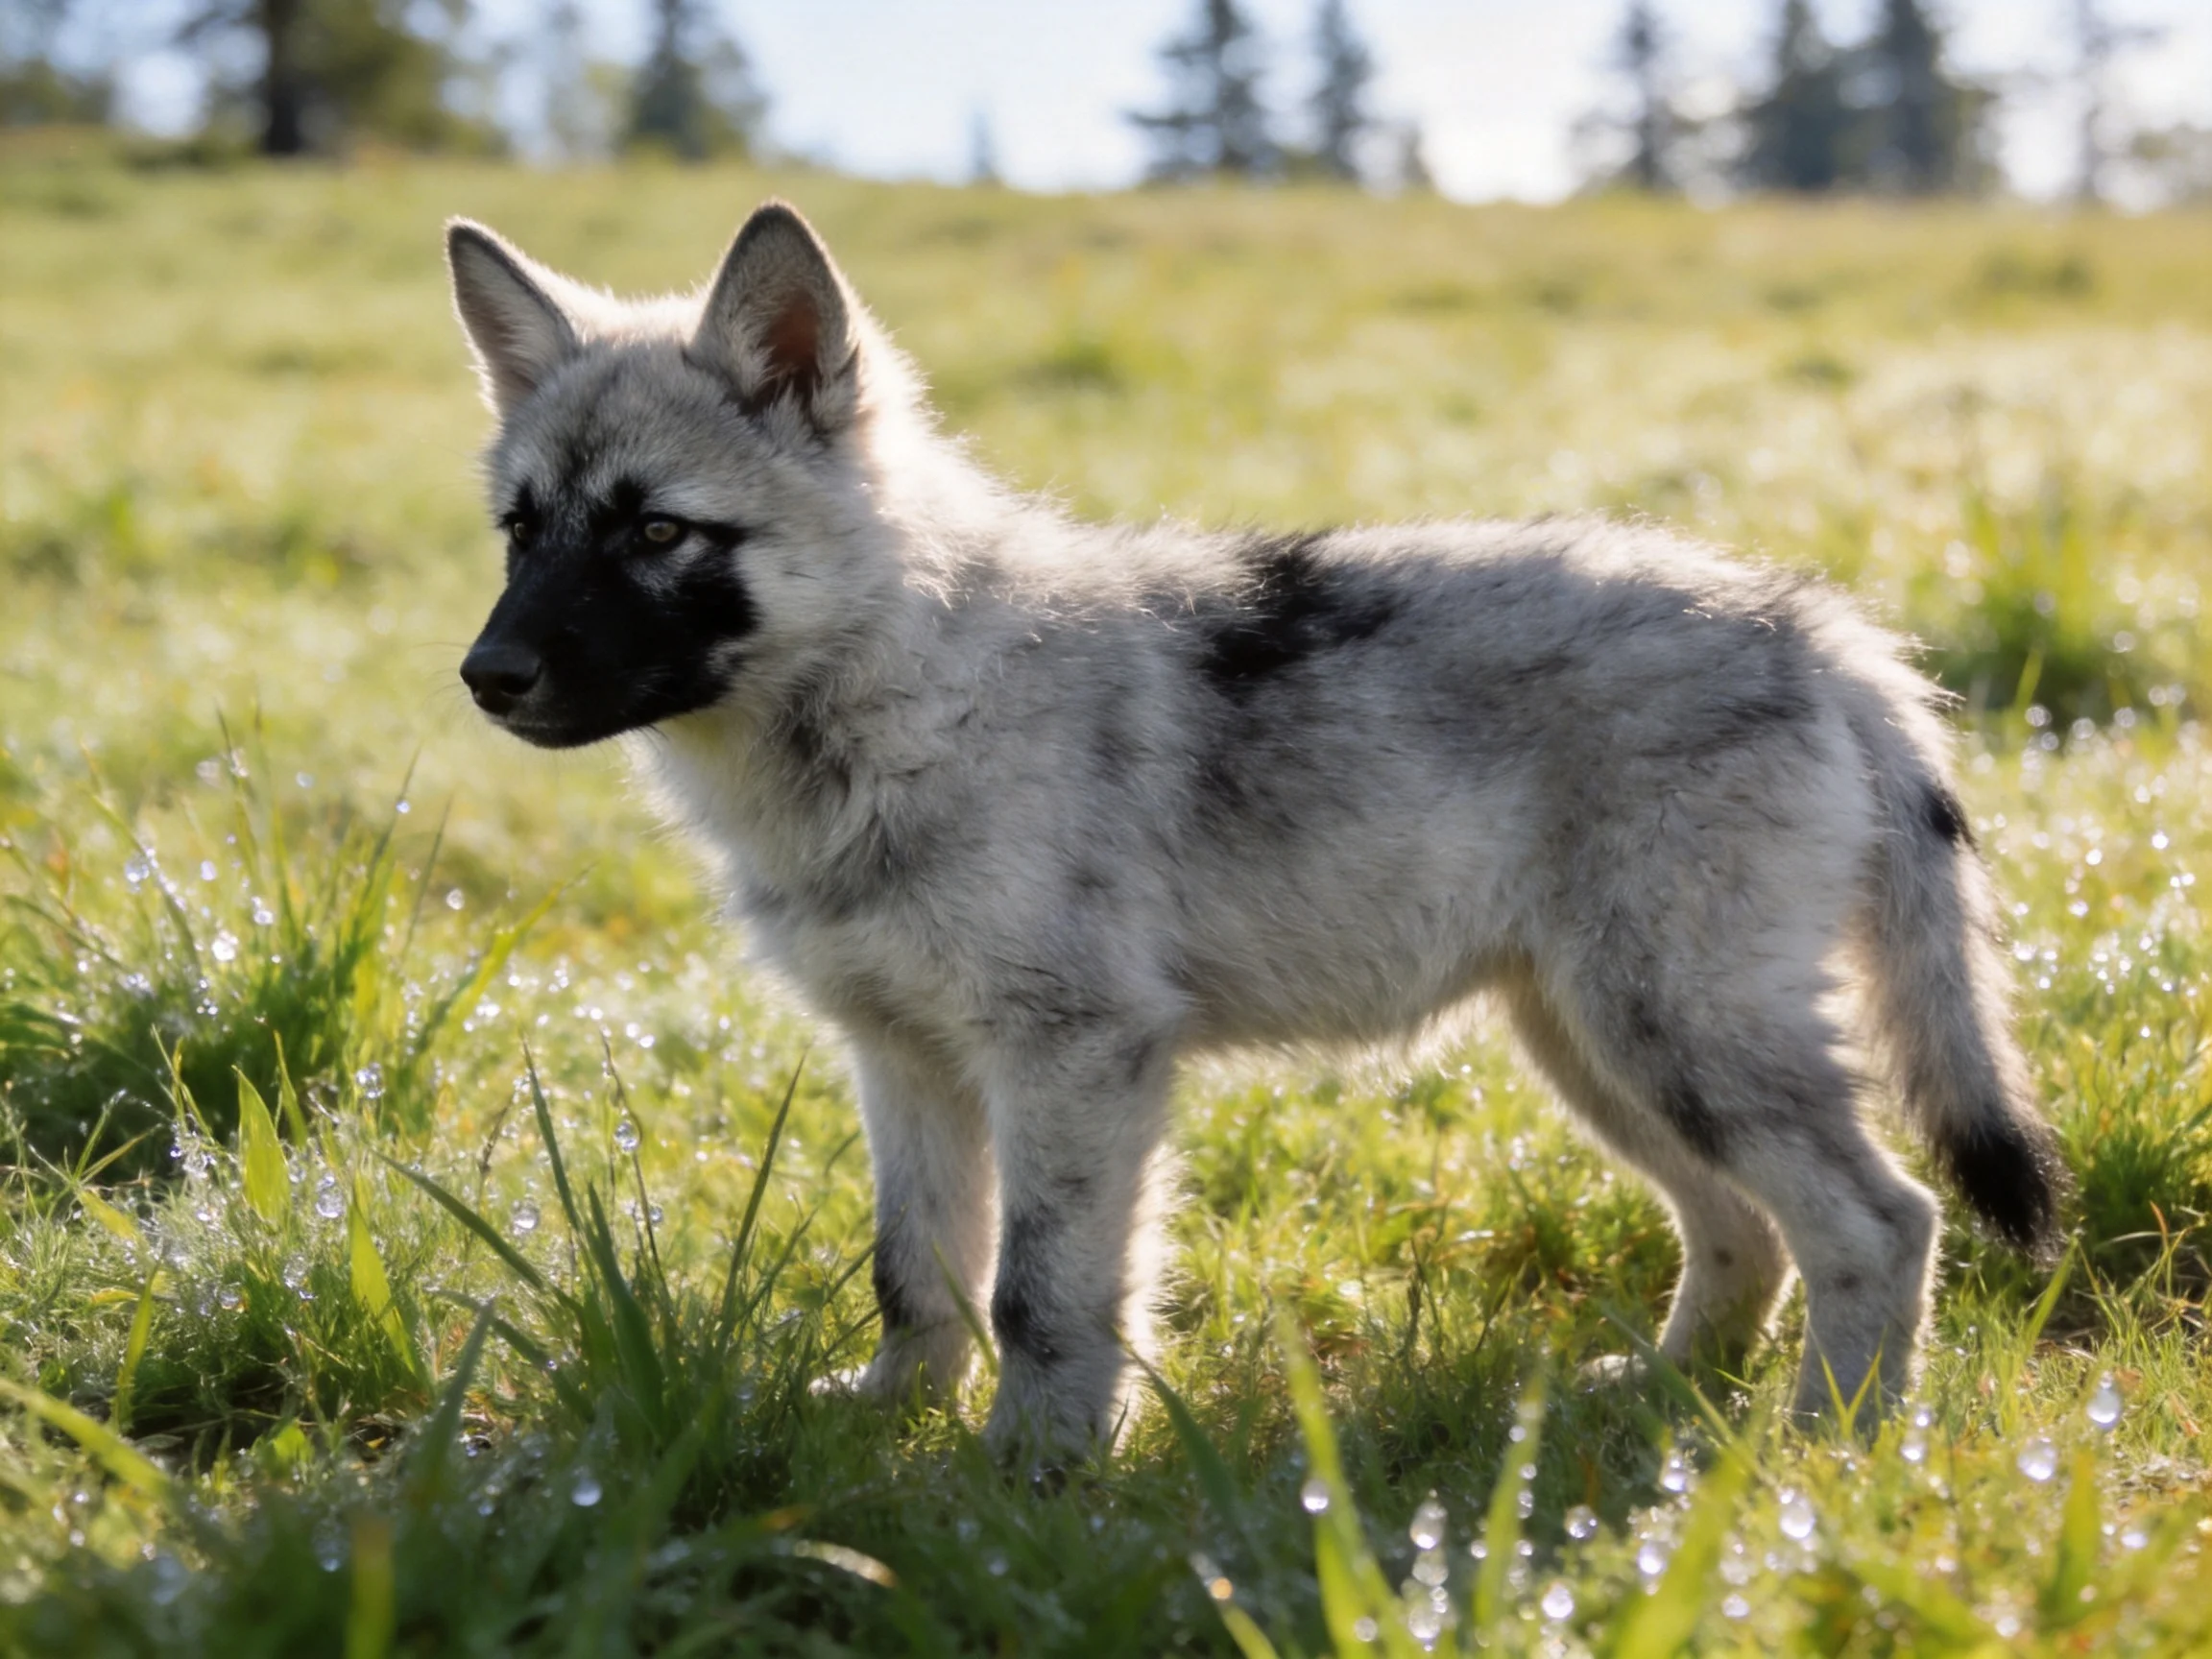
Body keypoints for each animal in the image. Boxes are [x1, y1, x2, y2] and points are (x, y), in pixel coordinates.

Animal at [445, 199, 2065, 1460]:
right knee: (1744, 1235)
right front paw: (891, 1427)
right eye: (522, 533)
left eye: (658, 532)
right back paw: (1666, 1402)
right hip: (1603, 1054)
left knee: (1881, 1224)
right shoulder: (906, 1064)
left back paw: (1824, 1456)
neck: (901, 695)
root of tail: (1829, 637)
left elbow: (1043, 1295)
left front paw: (1026, 1484)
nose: (487, 678)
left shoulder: (1076, 1062)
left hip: (1677, 1040)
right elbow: (919, 1277)